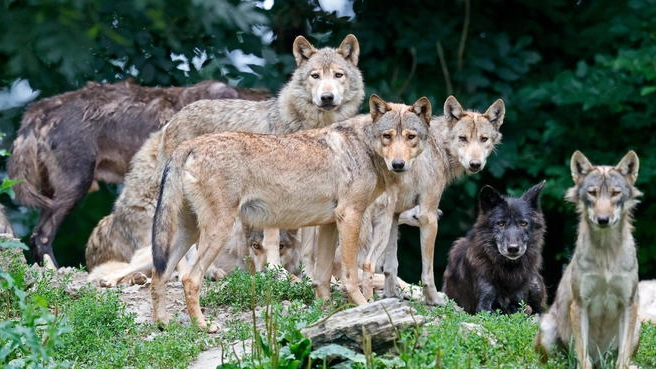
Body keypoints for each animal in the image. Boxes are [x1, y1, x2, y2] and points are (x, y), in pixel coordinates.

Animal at [83, 33, 364, 270]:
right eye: (315, 76)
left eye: (338, 75)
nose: (327, 98)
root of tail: (172, 120)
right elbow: (272, 240)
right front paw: (277, 273)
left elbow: (308, 247)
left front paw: (308, 275)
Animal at [151, 94, 434, 330]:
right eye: (388, 136)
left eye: (410, 137)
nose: (398, 164)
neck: (364, 146)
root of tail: (187, 146)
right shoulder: (350, 216)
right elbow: (350, 276)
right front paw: (364, 308)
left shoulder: (329, 224)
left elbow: (321, 277)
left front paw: (325, 312)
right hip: (216, 231)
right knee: (189, 277)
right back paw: (203, 325)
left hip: (187, 233)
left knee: (160, 275)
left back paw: (163, 323)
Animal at [440, 181, 548, 314]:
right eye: (501, 224)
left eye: (523, 223)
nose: (513, 248)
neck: (508, 271)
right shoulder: (483, 306)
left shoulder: (518, 302)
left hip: (535, 282)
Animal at [532, 150, 640, 368]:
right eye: (593, 193)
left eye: (615, 193)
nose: (603, 220)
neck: (606, 253)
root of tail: (601, 362)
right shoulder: (580, 305)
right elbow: (584, 358)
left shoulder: (628, 304)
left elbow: (622, 359)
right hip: (547, 328)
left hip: (638, 326)